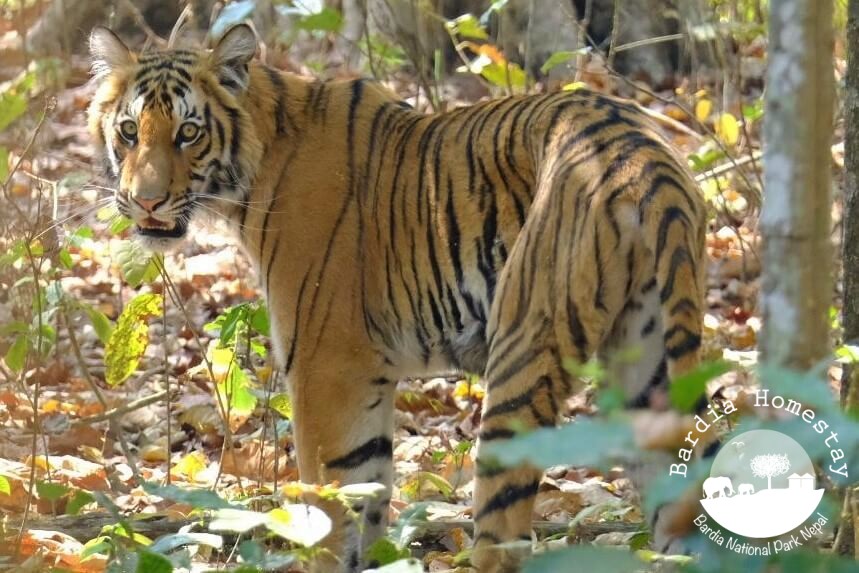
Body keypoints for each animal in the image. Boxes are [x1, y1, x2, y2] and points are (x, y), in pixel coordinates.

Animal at [88, 22, 706, 573]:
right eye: (129, 131)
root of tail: (643, 160)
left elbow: (331, 509)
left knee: (502, 533)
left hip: (524, 349)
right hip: (648, 362)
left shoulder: (326, 367)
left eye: (188, 133)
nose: (145, 202)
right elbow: (367, 504)